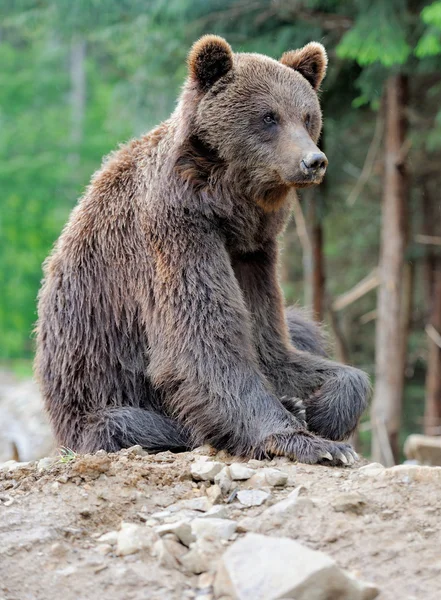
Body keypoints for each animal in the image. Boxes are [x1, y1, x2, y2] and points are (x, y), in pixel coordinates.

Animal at [36, 35, 370, 466]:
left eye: (308, 115)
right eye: (268, 117)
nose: (313, 160)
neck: (228, 206)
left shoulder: (252, 253)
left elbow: (271, 341)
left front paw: (320, 408)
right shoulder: (176, 231)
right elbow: (203, 340)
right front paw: (313, 442)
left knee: (303, 325)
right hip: (93, 398)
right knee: (130, 424)